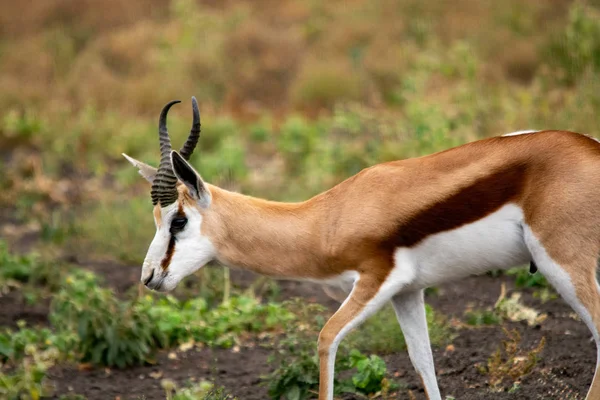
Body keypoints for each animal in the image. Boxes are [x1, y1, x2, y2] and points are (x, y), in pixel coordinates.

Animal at [124, 97, 600, 400]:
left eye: (179, 221)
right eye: (156, 220)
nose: (150, 277)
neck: (325, 219)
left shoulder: (375, 280)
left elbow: (325, 340)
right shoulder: (408, 292)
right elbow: (423, 362)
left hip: (563, 264)